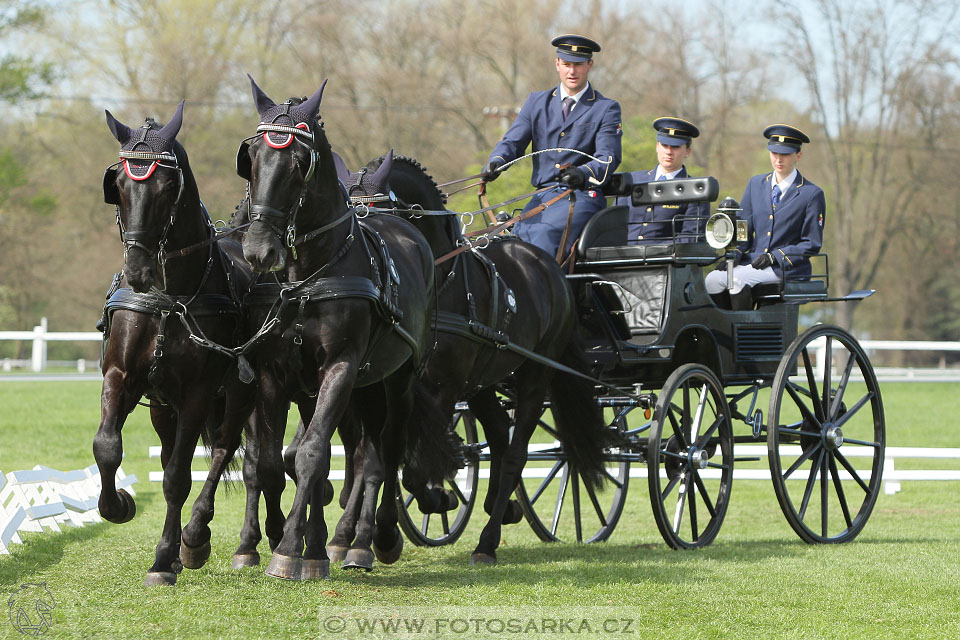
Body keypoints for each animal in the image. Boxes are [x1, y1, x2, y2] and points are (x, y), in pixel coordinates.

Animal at [98, 102, 255, 588]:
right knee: (172, 451)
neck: (168, 298)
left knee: (224, 450)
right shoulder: (122, 377)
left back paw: (195, 538)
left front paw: (165, 557)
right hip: (163, 405)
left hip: (241, 393)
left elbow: (176, 479)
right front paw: (117, 505)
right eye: (120, 184)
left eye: (168, 187)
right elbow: (107, 446)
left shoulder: (198, 393)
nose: (138, 271)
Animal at [238, 79, 452, 580]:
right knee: (361, 453)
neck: (308, 277)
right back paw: (343, 539)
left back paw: (375, 539)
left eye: (300, 162)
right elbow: (273, 461)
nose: (259, 250)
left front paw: (291, 550)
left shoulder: (339, 367)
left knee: (385, 453)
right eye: (251, 156)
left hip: (397, 379)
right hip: (364, 387)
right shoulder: (275, 376)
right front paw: (299, 543)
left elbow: (313, 454)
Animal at [336, 152, 608, 564]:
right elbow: (379, 454)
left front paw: (434, 502)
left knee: (515, 452)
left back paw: (487, 541)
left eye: (379, 211)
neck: (439, 279)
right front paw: (357, 534)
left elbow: (415, 466)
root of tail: (551, 268)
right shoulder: (391, 385)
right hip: (482, 382)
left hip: (534, 376)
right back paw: (501, 505)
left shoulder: (441, 389)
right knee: (497, 434)